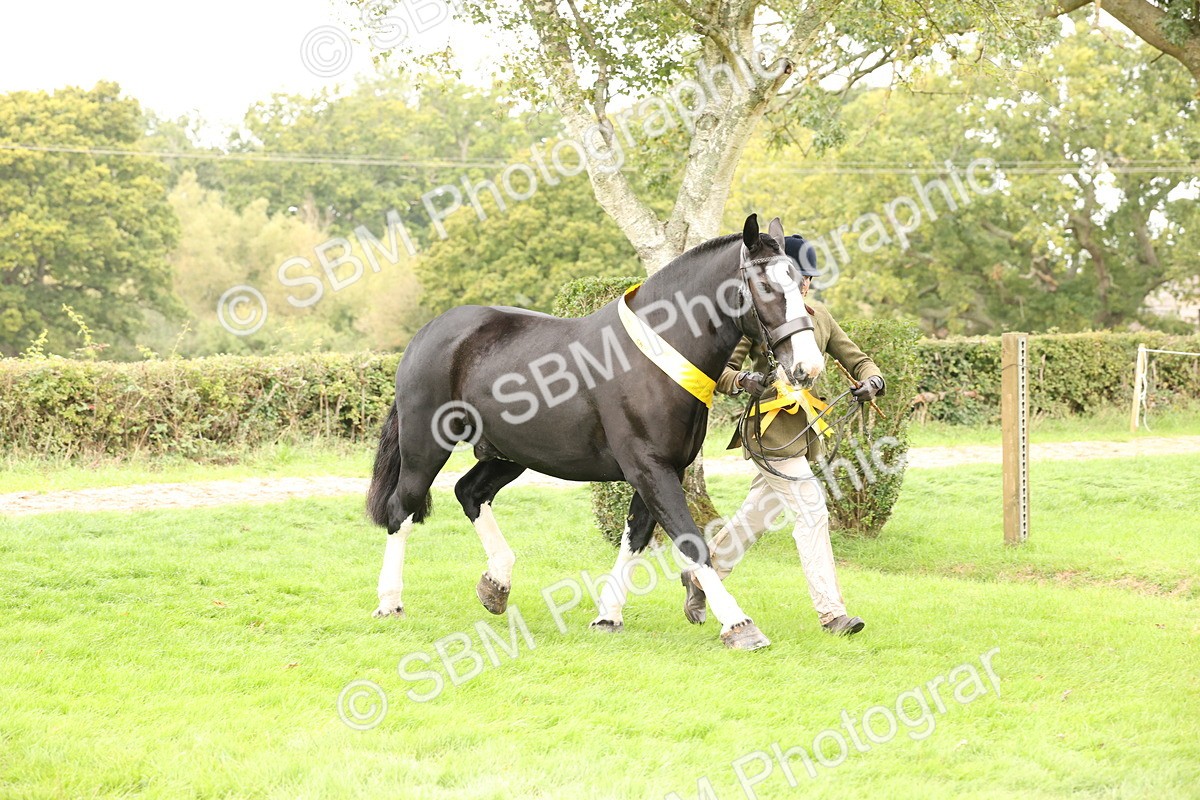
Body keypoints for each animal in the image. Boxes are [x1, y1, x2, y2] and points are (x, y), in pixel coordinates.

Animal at [365, 214, 825, 650]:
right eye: (765, 284)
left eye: (796, 280)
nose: (808, 366)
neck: (658, 355)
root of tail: (427, 334)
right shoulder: (649, 468)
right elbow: (690, 540)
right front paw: (739, 625)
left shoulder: (664, 469)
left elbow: (636, 536)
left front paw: (608, 615)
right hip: (425, 446)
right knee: (402, 508)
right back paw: (390, 602)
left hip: (509, 453)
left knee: (470, 493)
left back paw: (497, 583)